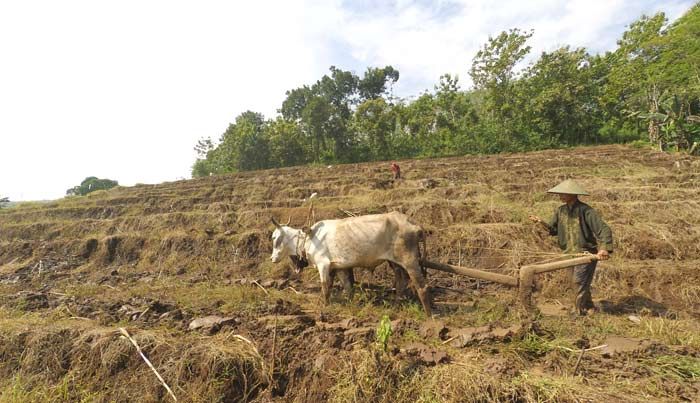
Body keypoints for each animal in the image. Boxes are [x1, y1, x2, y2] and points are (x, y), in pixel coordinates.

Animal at [270, 211, 430, 316]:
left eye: (274, 238)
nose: (272, 258)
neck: (309, 237)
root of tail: (412, 222)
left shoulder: (323, 264)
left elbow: (325, 287)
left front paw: (325, 305)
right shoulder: (339, 267)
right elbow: (347, 287)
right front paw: (349, 303)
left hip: (409, 261)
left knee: (422, 286)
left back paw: (429, 314)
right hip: (395, 263)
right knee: (401, 282)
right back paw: (396, 305)